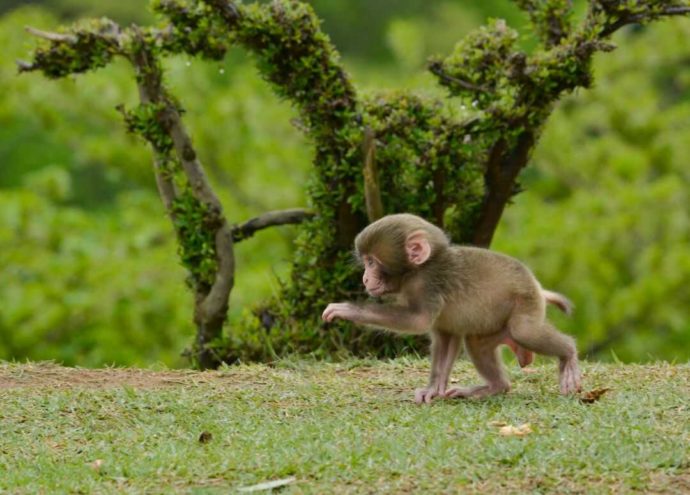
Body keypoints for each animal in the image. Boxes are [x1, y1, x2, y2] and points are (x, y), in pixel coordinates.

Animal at [320, 213, 576, 404]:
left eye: (372, 262)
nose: (365, 278)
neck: (418, 270)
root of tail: (538, 287)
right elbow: (446, 335)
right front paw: (434, 388)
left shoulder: (426, 286)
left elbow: (419, 321)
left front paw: (348, 310)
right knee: (478, 344)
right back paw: (495, 386)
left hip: (526, 302)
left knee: (524, 331)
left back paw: (568, 354)